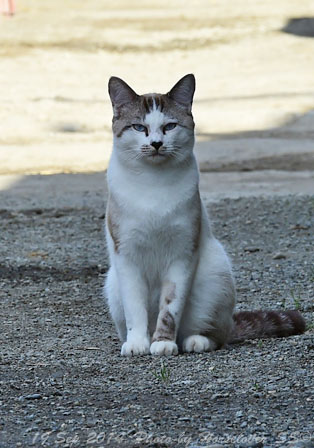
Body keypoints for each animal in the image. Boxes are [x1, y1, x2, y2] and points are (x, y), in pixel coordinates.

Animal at [104, 73, 306, 356]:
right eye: (138, 127)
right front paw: (137, 344)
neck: (152, 184)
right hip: (112, 283)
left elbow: (170, 310)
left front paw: (163, 343)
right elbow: (135, 309)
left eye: (169, 126)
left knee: (216, 335)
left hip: (215, 274)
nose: (156, 144)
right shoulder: (127, 257)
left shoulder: (182, 255)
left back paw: (192, 341)